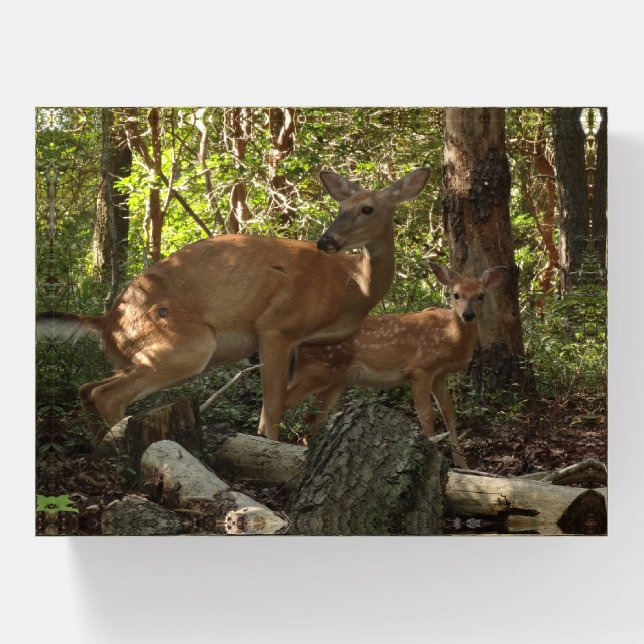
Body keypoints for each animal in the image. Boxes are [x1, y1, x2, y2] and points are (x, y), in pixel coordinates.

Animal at [36, 167, 431, 447]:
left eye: (367, 208)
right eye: (340, 207)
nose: (326, 240)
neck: (352, 285)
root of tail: (107, 321)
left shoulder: (298, 343)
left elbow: (274, 406)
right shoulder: (276, 325)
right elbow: (274, 406)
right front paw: (275, 450)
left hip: (134, 355)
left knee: (88, 387)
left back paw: (98, 447)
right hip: (188, 344)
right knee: (105, 394)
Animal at [284, 262, 507, 468]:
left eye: (481, 295)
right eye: (456, 294)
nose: (468, 315)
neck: (449, 335)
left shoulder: (439, 375)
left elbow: (448, 414)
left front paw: (463, 466)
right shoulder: (420, 369)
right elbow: (426, 416)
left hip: (336, 379)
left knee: (312, 415)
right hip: (319, 368)